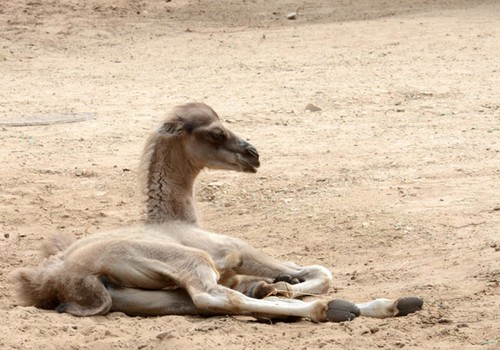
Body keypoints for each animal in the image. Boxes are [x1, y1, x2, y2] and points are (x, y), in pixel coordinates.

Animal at [10, 102, 422, 322]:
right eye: (215, 132)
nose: (253, 154)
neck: (178, 219)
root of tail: (60, 279)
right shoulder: (234, 250)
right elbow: (320, 272)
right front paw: (284, 286)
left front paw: (277, 286)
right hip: (187, 260)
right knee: (212, 297)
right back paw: (334, 308)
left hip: (141, 298)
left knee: (200, 303)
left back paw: (385, 304)